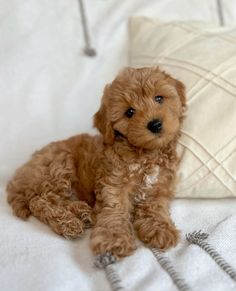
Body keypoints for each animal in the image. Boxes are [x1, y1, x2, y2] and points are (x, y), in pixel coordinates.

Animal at [6, 68, 186, 260]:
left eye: (159, 98)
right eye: (129, 112)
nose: (155, 124)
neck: (145, 153)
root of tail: (17, 177)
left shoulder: (158, 188)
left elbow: (155, 209)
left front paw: (160, 230)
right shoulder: (113, 183)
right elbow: (114, 209)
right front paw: (114, 240)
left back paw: (83, 212)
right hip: (58, 164)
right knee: (41, 202)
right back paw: (69, 223)